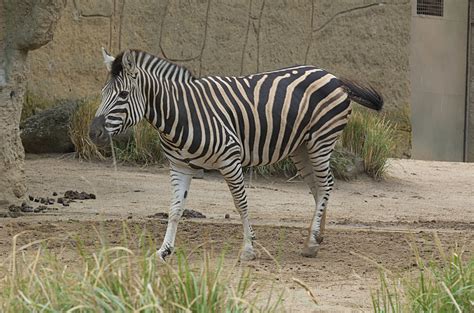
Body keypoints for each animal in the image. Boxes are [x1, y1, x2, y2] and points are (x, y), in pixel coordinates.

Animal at [89, 47, 384, 260]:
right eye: (103, 92)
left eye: (123, 94)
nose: (93, 133)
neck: (180, 112)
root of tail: (334, 76)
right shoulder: (179, 166)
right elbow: (174, 209)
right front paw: (164, 250)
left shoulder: (230, 159)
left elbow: (241, 203)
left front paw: (248, 249)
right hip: (301, 147)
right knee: (317, 187)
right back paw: (316, 237)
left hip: (321, 140)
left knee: (326, 185)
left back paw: (311, 243)